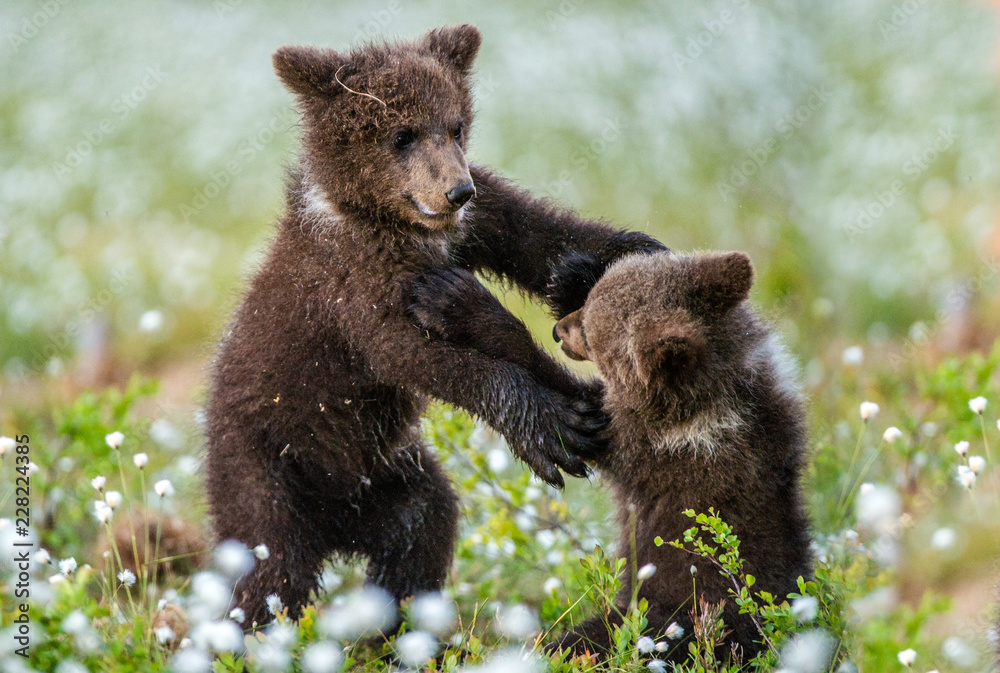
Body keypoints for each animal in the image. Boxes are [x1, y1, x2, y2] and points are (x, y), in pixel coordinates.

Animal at [203, 24, 666, 627]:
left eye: (455, 125)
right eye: (401, 135)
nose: (456, 190)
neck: (387, 221)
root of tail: (334, 528)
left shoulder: (476, 221)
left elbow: (540, 237)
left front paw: (638, 252)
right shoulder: (348, 284)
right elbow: (410, 353)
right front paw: (548, 423)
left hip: (388, 477)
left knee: (421, 526)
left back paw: (396, 625)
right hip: (264, 468)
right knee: (268, 566)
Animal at [410, 251, 812, 663]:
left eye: (591, 329)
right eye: (589, 301)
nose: (558, 330)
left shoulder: (649, 448)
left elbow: (574, 406)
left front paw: (456, 301)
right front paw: (570, 273)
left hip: (676, 614)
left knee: (586, 641)